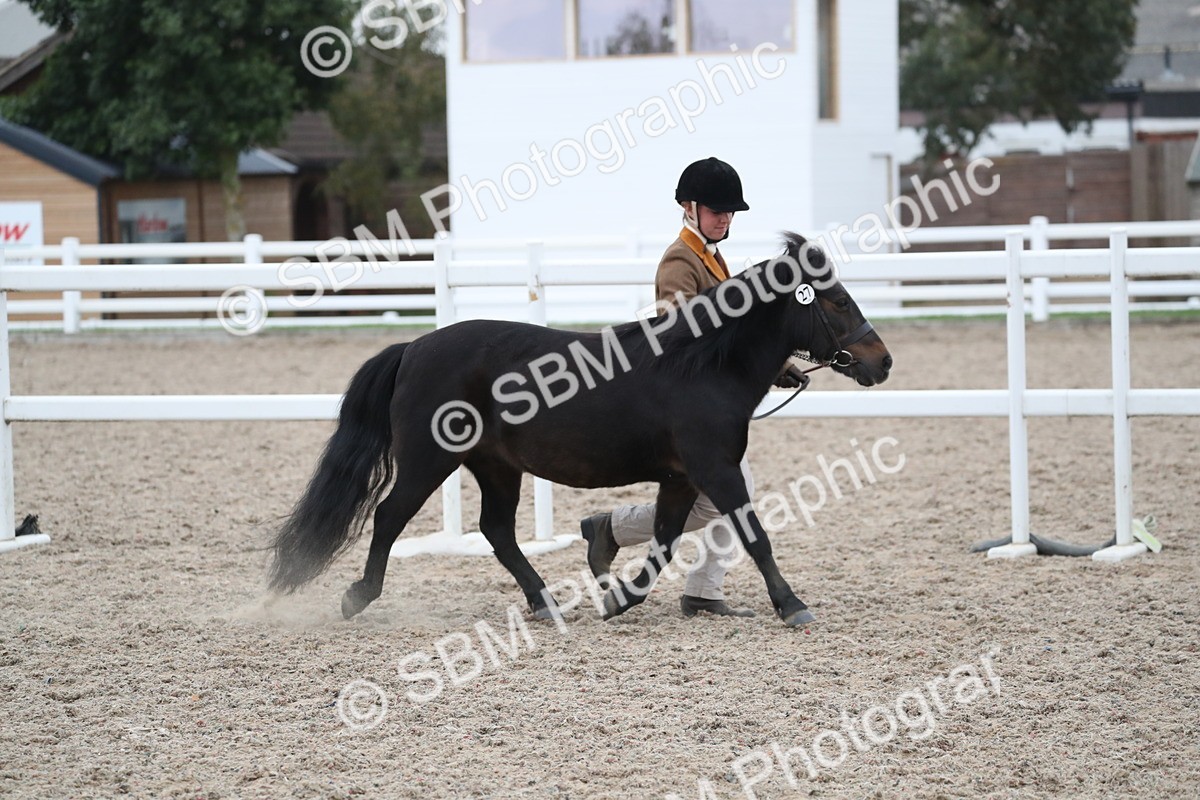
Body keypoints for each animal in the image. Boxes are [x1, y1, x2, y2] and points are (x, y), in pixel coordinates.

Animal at [267, 232, 892, 627]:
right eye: (838, 300)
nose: (882, 362)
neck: (703, 365)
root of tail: (414, 347)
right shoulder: (715, 470)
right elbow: (754, 534)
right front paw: (792, 605)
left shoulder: (682, 478)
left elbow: (665, 541)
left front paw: (617, 596)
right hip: (429, 461)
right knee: (390, 517)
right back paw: (358, 597)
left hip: (496, 466)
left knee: (497, 530)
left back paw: (544, 601)